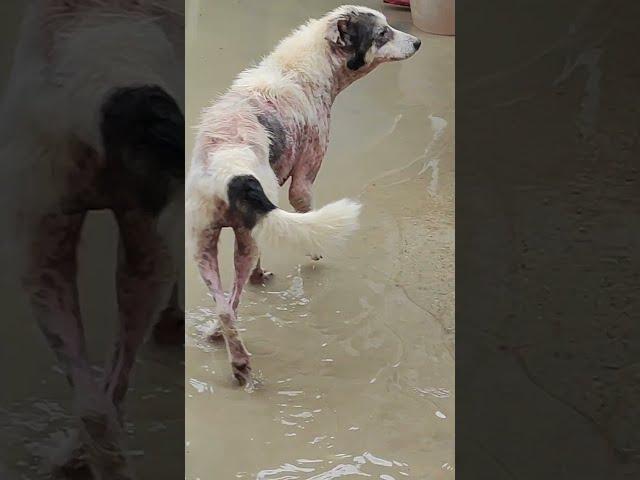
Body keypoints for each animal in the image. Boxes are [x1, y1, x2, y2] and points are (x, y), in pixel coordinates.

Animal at [188, 4, 422, 386]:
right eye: (382, 33)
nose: (418, 42)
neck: (301, 70)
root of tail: (229, 169)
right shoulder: (302, 182)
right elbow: (304, 212)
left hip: (203, 246)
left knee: (225, 308)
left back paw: (226, 346)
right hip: (241, 242)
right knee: (233, 300)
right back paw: (240, 361)